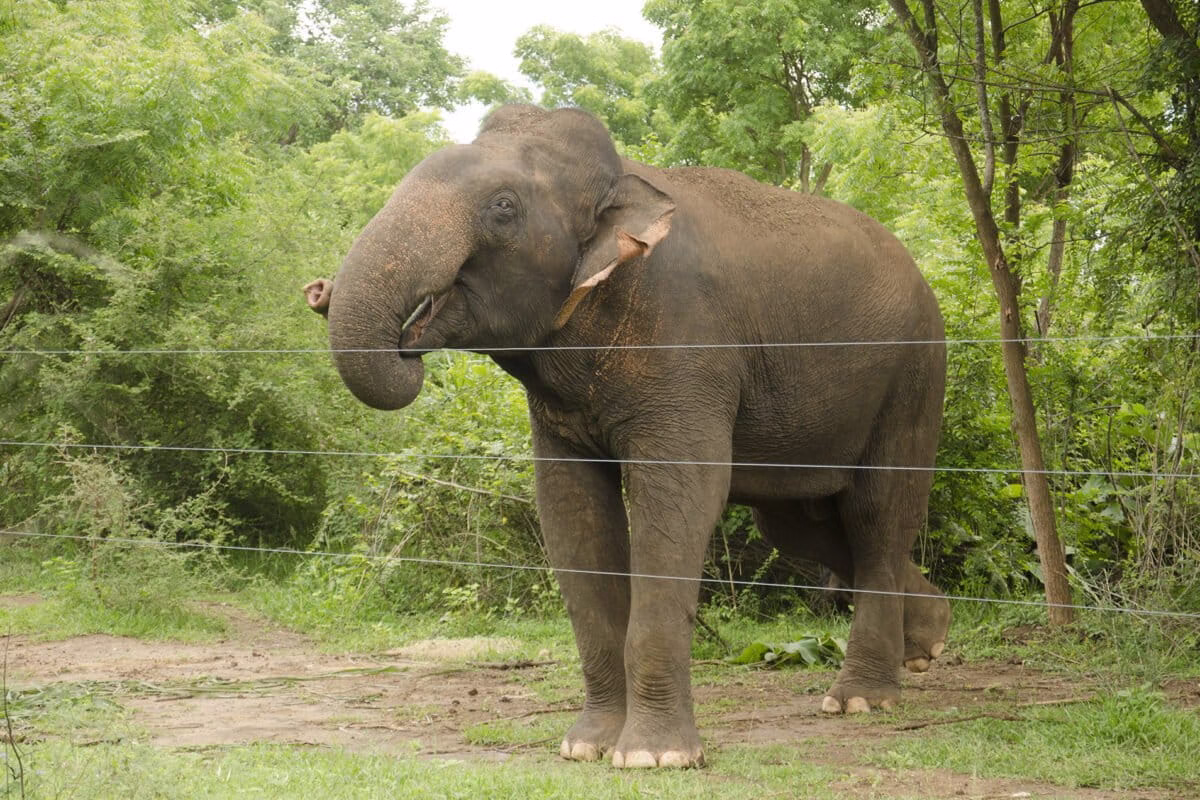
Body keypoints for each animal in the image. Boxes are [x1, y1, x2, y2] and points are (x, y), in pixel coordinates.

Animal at [304, 104, 949, 769]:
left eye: (503, 207)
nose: (319, 290)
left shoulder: (688, 347)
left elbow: (680, 497)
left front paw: (653, 757)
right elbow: (571, 510)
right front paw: (585, 746)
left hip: (913, 376)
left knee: (877, 514)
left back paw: (861, 699)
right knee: (796, 525)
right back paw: (928, 640)